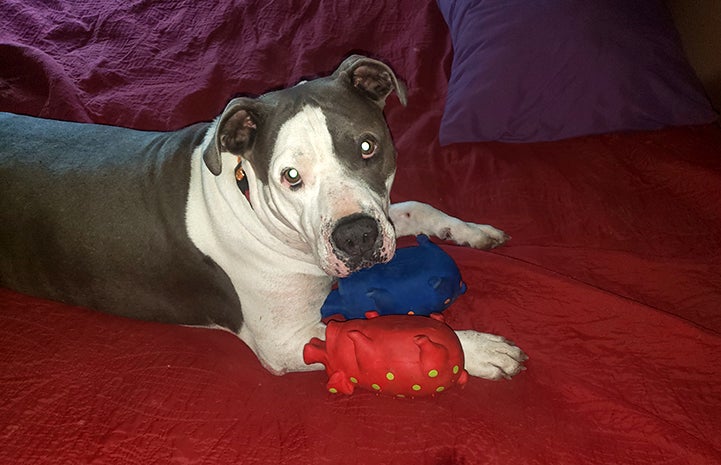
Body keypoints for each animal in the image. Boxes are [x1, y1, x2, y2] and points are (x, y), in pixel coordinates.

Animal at [2, 54, 524, 378]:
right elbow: (380, 332)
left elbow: (416, 207)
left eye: (367, 147)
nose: (355, 237)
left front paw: (471, 231)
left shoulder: (382, 212)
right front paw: (476, 349)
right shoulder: (286, 338)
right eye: (290, 176)